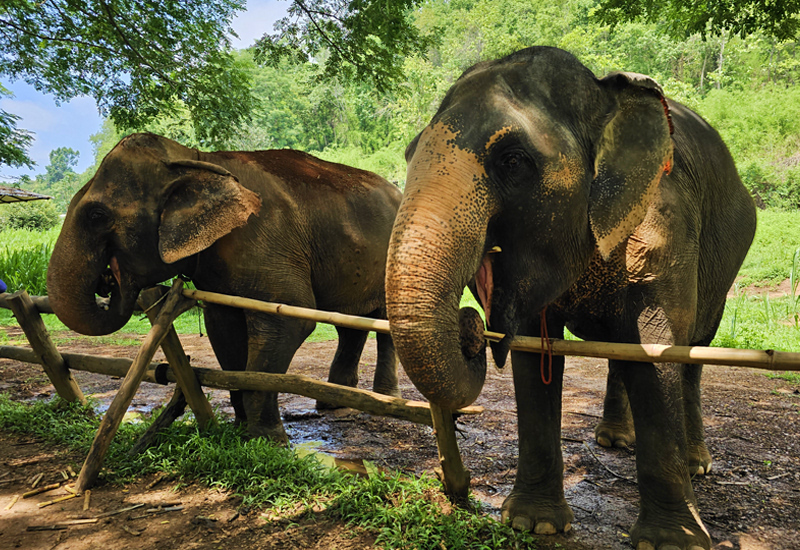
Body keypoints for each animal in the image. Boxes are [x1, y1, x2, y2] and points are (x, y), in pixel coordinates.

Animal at [47, 132, 403, 443]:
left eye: (97, 215)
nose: (107, 281)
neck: (196, 158)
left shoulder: (265, 240)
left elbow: (289, 321)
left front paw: (268, 441)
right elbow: (223, 327)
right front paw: (242, 431)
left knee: (385, 323)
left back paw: (385, 401)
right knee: (351, 325)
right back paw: (335, 403)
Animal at [385, 47, 756, 550]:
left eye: (513, 160)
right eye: (409, 154)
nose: (471, 328)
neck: (604, 99)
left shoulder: (667, 224)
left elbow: (657, 350)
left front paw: (670, 542)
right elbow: (534, 356)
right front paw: (533, 524)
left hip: (727, 259)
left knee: (694, 351)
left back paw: (697, 463)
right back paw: (614, 441)